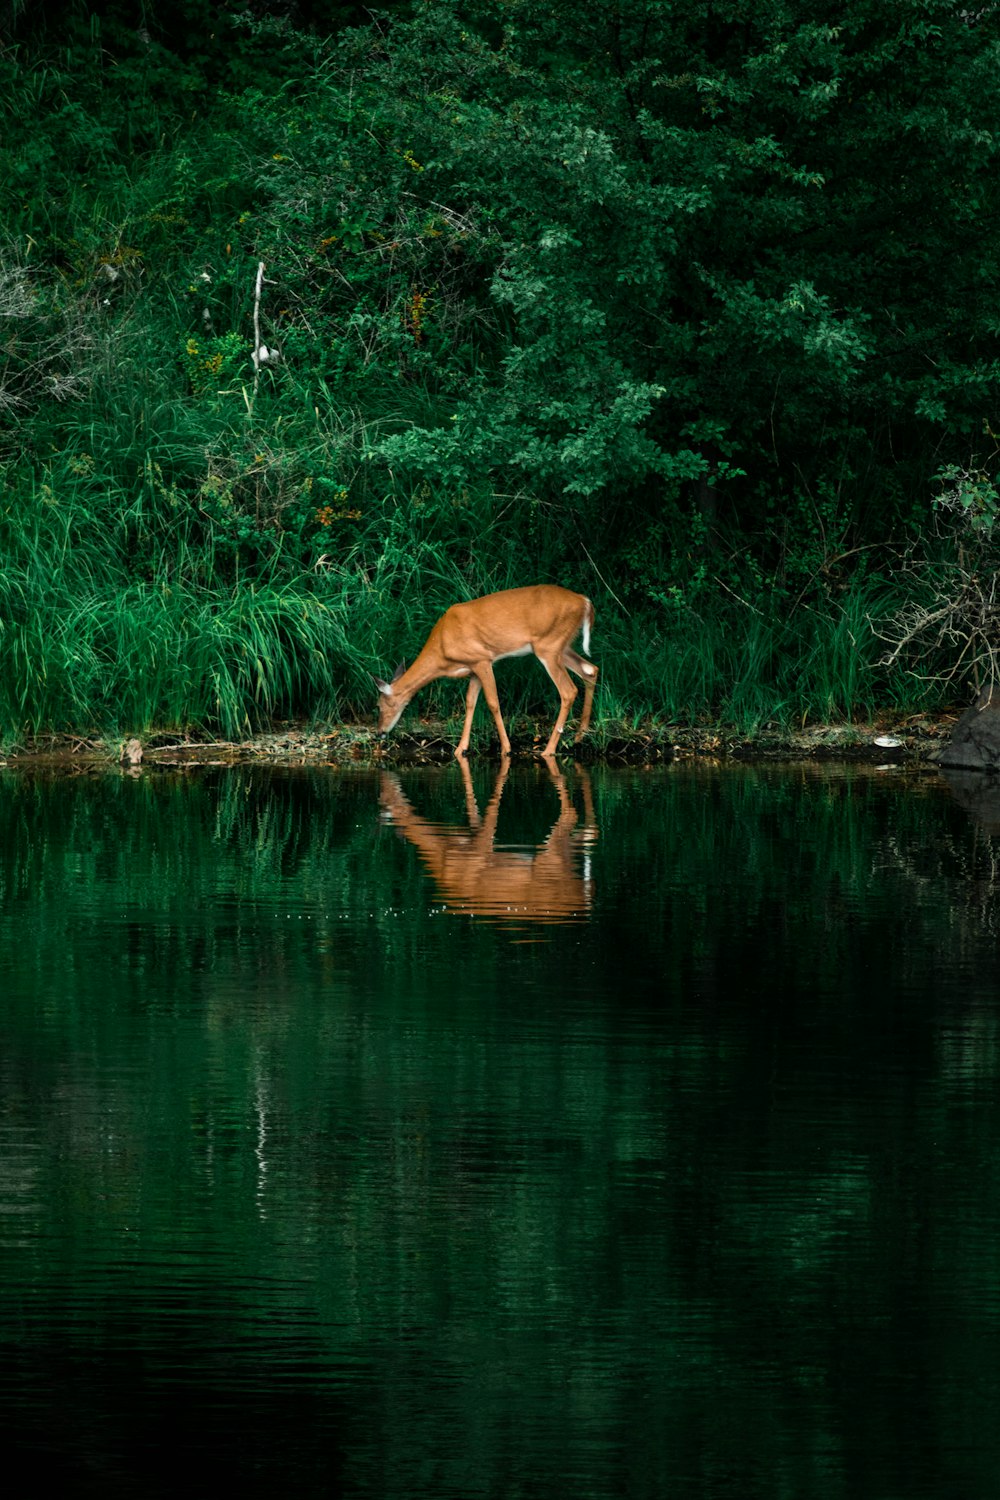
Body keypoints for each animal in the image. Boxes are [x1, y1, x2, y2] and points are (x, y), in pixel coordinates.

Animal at [373, 579, 593, 756]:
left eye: (379, 706)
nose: (379, 733)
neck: (442, 649)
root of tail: (584, 602)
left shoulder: (482, 659)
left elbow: (492, 702)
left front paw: (506, 748)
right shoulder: (473, 668)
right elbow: (470, 702)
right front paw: (460, 748)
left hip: (549, 645)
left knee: (568, 690)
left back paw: (549, 749)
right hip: (562, 646)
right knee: (590, 670)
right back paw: (580, 736)